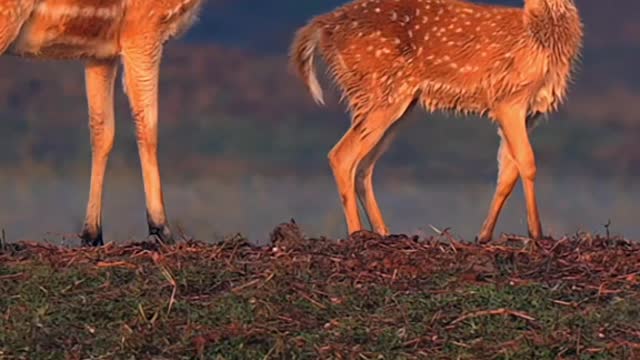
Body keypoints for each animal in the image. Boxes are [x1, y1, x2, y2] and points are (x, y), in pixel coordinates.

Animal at [2, 0, 202, 245]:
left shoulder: (101, 52)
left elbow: (102, 132)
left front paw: (92, 235)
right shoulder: (143, 28)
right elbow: (147, 127)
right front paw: (162, 229)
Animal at [292, 0, 584, 242]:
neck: (538, 36)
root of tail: (322, 26)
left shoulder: (530, 111)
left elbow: (507, 172)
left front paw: (484, 236)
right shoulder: (508, 99)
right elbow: (527, 162)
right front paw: (536, 233)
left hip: (397, 104)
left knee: (363, 165)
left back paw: (384, 233)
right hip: (379, 92)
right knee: (342, 155)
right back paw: (357, 235)